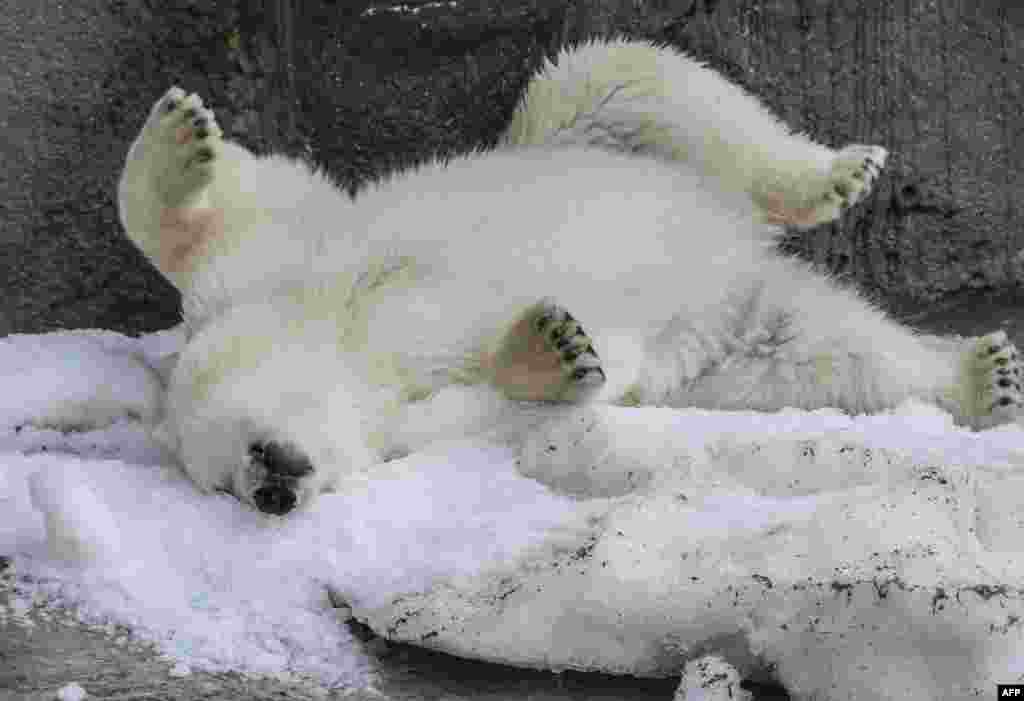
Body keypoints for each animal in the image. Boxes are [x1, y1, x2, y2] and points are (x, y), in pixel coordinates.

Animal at [117, 38, 1015, 513]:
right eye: (220, 485)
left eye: (238, 453)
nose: (271, 490)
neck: (349, 348)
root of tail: (736, 244)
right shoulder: (414, 421)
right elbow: (510, 403)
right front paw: (554, 343)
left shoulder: (284, 267)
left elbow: (250, 204)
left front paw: (180, 135)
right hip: (736, 336)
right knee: (826, 349)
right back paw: (980, 376)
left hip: (589, 142)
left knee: (621, 80)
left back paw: (836, 174)